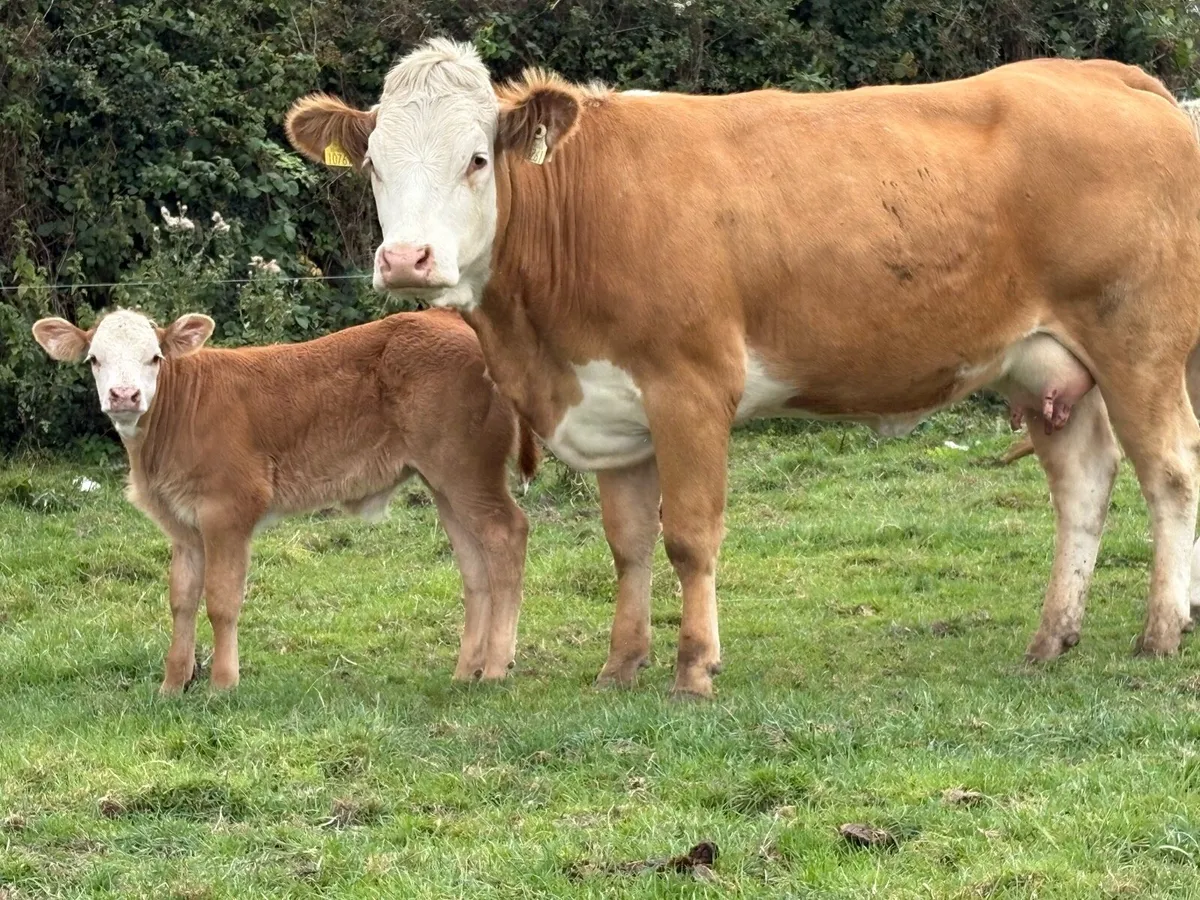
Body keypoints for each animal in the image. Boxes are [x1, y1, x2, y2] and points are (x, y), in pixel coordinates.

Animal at [31, 307, 536, 693]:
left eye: (154, 357)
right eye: (94, 359)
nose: (124, 395)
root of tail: (446, 317)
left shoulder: (229, 509)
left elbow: (221, 599)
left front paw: (222, 684)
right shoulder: (184, 526)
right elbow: (181, 600)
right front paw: (173, 685)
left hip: (469, 470)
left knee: (507, 533)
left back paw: (496, 667)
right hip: (444, 482)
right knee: (474, 566)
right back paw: (466, 670)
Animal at [285, 41, 1200, 698]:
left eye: (476, 159)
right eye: (373, 164)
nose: (406, 260)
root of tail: (1106, 76)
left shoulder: (690, 387)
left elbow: (690, 536)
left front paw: (694, 668)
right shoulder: (611, 404)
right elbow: (627, 545)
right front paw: (620, 668)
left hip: (1139, 345)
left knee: (1170, 474)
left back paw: (1159, 631)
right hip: (1046, 366)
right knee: (1083, 485)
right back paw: (1052, 638)